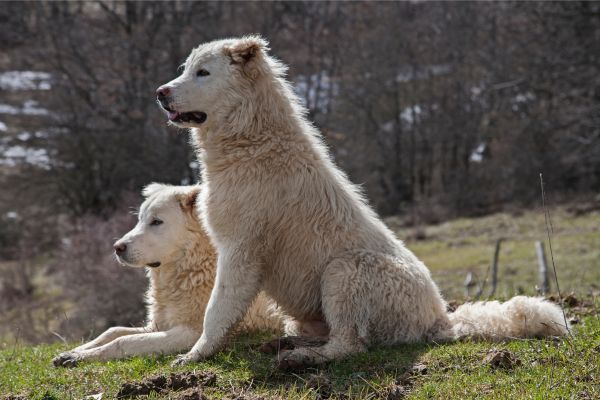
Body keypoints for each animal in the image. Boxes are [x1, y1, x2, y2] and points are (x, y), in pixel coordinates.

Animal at [52, 183, 282, 368]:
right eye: (140, 220)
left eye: (156, 222)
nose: (117, 247)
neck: (190, 270)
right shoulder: (157, 325)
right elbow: (113, 331)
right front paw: (74, 352)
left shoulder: (191, 332)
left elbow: (123, 341)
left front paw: (79, 357)